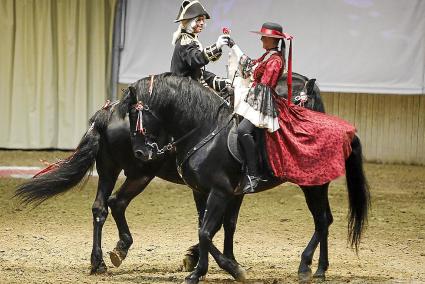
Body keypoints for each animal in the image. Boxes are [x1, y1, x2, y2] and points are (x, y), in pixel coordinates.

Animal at [14, 72, 322, 278]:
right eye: (304, 103)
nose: (314, 132)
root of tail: (108, 113)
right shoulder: (218, 189)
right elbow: (214, 225)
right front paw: (210, 261)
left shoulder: (225, 191)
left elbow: (223, 224)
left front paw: (212, 260)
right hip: (136, 173)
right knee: (111, 205)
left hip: (117, 172)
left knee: (106, 205)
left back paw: (105, 257)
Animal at [127, 74, 370, 284]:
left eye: (136, 116)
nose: (139, 153)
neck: (205, 131)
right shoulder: (204, 192)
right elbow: (206, 229)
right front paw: (214, 268)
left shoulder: (220, 192)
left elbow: (206, 232)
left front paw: (217, 270)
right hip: (316, 186)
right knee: (325, 220)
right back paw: (320, 269)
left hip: (313, 186)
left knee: (321, 220)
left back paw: (305, 267)